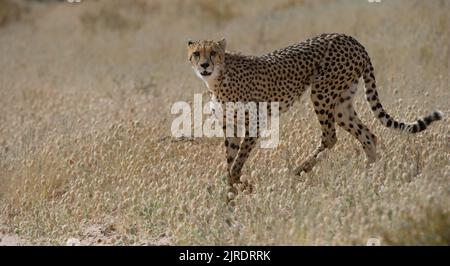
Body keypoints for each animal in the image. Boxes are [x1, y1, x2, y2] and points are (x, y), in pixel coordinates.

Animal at [186, 33, 442, 193]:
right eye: (197, 53)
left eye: (213, 53)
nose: (205, 65)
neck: (218, 78)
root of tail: (350, 38)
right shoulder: (230, 125)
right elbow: (230, 160)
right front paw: (230, 196)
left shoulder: (256, 121)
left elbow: (237, 162)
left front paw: (240, 186)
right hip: (341, 103)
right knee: (368, 135)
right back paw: (370, 176)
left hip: (321, 91)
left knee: (330, 137)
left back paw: (300, 169)